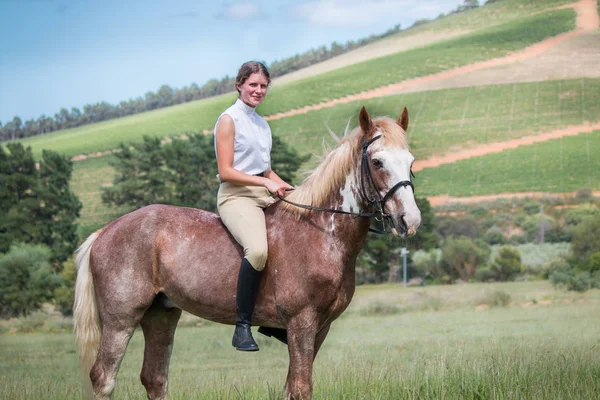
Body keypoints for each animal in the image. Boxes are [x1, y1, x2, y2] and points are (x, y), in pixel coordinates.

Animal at [74, 104, 422, 398]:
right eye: (377, 162)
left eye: (410, 162)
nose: (410, 220)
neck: (323, 232)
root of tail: (105, 231)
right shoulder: (301, 323)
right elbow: (302, 388)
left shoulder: (321, 328)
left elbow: (291, 388)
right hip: (121, 320)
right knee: (104, 378)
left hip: (161, 314)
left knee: (154, 378)